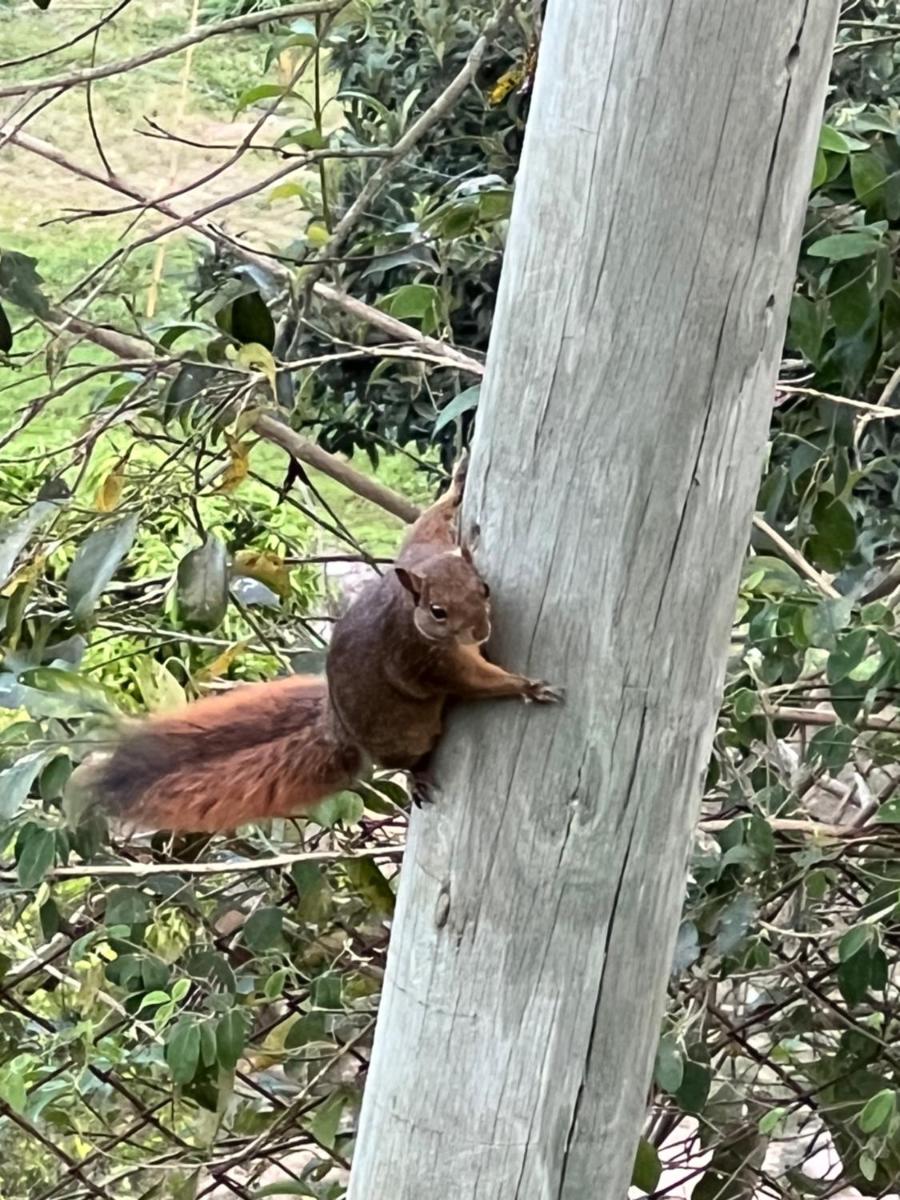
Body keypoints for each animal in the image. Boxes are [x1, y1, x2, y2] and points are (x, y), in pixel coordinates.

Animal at [91, 458, 564, 835]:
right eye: (438, 612)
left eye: (484, 588)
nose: (481, 630)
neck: (410, 602)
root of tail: (337, 727)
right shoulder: (424, 660)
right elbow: (474, 683)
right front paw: (525, 686)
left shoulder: (422, 550)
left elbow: (427, 523)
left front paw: (457, 484)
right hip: (407, 735)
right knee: (404, 759)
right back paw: (417, 776)